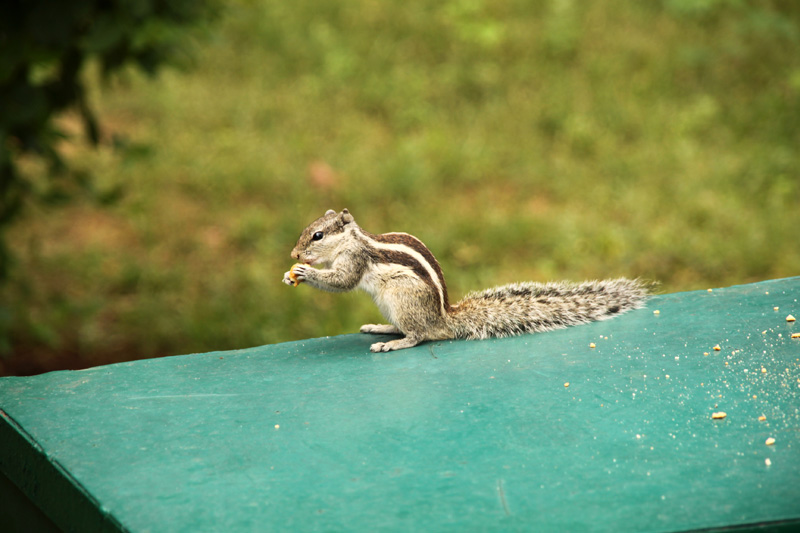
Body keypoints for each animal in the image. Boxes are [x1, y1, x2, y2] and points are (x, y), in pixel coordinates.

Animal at [282, 209, 651, 353]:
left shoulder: (355, 260)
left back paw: (393, 342)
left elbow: (342, 280)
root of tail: (444, 319)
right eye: (306, 231)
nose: (293, 254)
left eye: (317, 235)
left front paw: (307, 273)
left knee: (419, 335)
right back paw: (382, 328)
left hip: (402, 299)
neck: (351, 240)